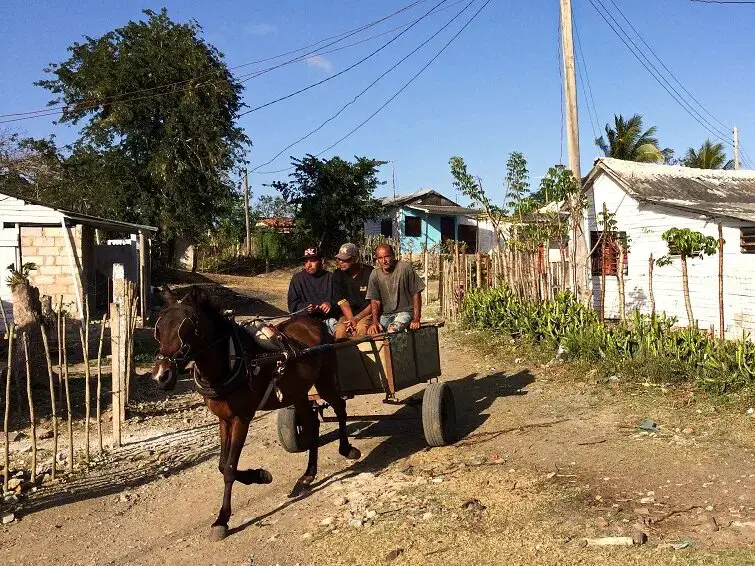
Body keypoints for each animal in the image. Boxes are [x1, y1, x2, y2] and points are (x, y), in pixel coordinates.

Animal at [151, 288, 360, 540]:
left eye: (191, 327)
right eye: (158, 328)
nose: (162, 376)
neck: (231, 361)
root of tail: (314, 322)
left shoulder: (242, 418)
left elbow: (229, 469)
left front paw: (222, 519)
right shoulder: (224, 419)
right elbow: (222, 464)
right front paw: (260, 475)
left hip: (325, 381)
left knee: (340, 407)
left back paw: (347, 449)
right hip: (298, 392)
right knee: (311, 425)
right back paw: (307, 476)